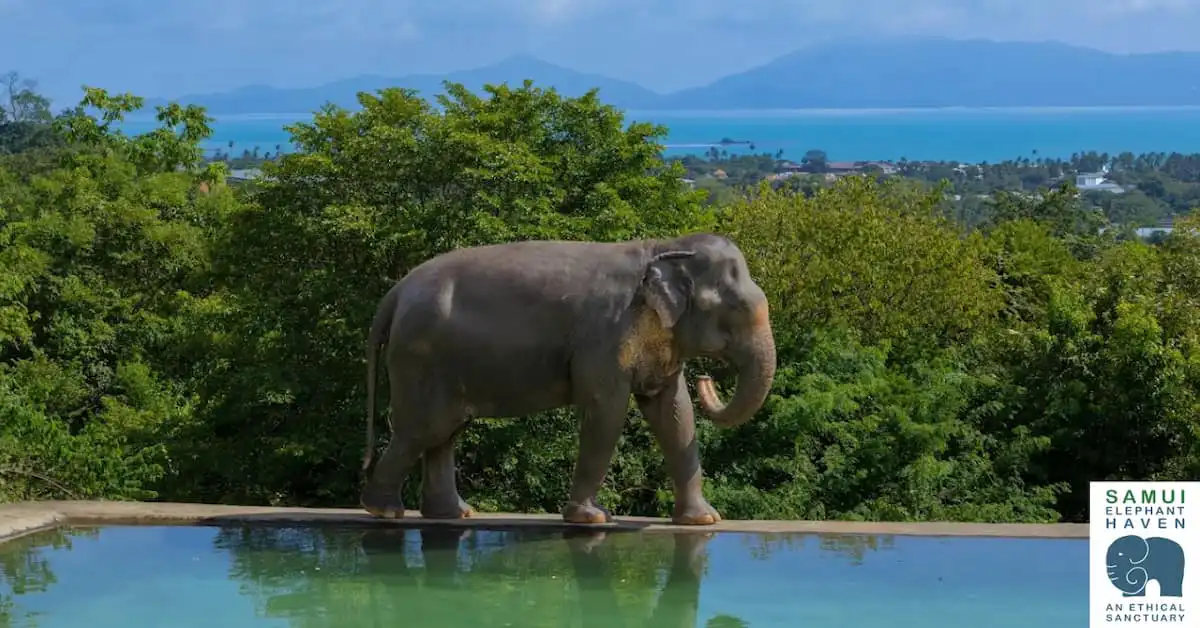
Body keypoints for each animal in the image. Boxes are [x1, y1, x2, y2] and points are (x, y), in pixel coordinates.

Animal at [359, 232, 777, 526]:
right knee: (423, 429)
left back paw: (453, 514)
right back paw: (386, 512)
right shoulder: (605, 334)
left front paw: (703, 519)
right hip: (420, 357)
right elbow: (606, 411)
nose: (708, 379)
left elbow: (673, 412)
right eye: (733, 308)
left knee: (444, 432)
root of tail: (397, 292)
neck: (664, 246)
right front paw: (593, 518)